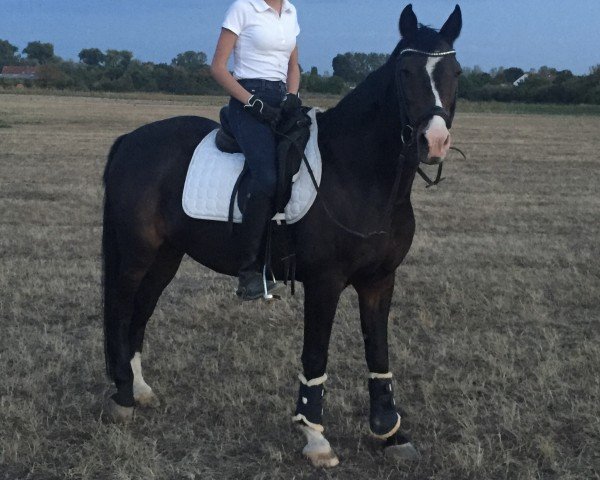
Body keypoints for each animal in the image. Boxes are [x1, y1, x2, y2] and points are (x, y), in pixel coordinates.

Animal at [101, 3, 462, 466]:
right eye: (405, 72)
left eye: (455, 71)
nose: (432, 142)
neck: (358, 173)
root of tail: (131, 140)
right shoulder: (325, 282)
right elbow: (316, 355)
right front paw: (315, 438)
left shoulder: (380, 280)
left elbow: (378, 351)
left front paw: (389, 431)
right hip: (136, 253)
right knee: (120, 307)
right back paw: (122, 397)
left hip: (166, 256)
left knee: (140, 312)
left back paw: (139, 388)